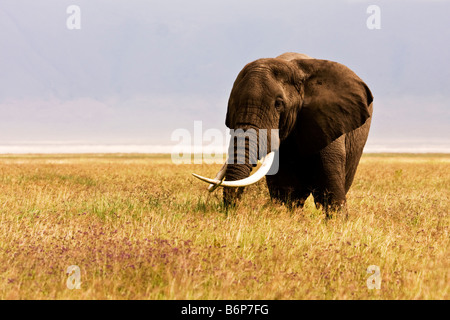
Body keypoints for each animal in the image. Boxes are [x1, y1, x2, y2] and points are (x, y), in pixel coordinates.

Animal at [193, 52, 372, 215]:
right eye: (232, 104)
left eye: (278, 104)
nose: (231, 211)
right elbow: (286, 191)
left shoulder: (327, 120)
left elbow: (329, 191)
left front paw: (337, 220)